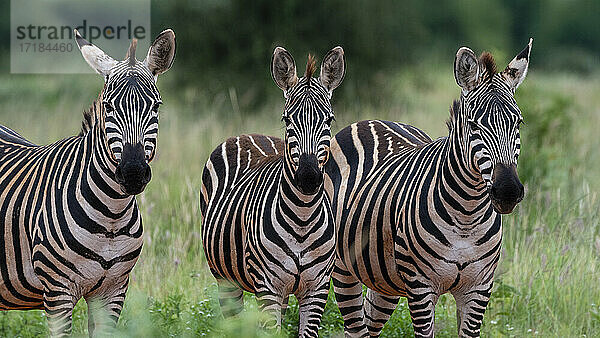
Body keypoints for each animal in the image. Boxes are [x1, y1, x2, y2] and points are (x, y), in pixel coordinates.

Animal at [0, 30, 177, 336]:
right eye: (108, 106)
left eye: (155, 107)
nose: (133, 173)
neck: (111, 216)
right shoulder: (57, 291)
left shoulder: (113, 291)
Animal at [199, 46, 344, 336]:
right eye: (287, 119)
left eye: (329, 119)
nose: (308, 177)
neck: (303, 217)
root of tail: (247, 134)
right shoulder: (268, 287)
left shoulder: (317, 288)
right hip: (224, 279)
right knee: (233, 320)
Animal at [326, 39, 532, 336]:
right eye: (473, 124)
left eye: (518, 122)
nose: (508, 192)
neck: (467, 216)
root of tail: (371, 120)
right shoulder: (421, 287)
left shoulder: (479, 289)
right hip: (343, 269)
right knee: (355, 327)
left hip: (383, 281)